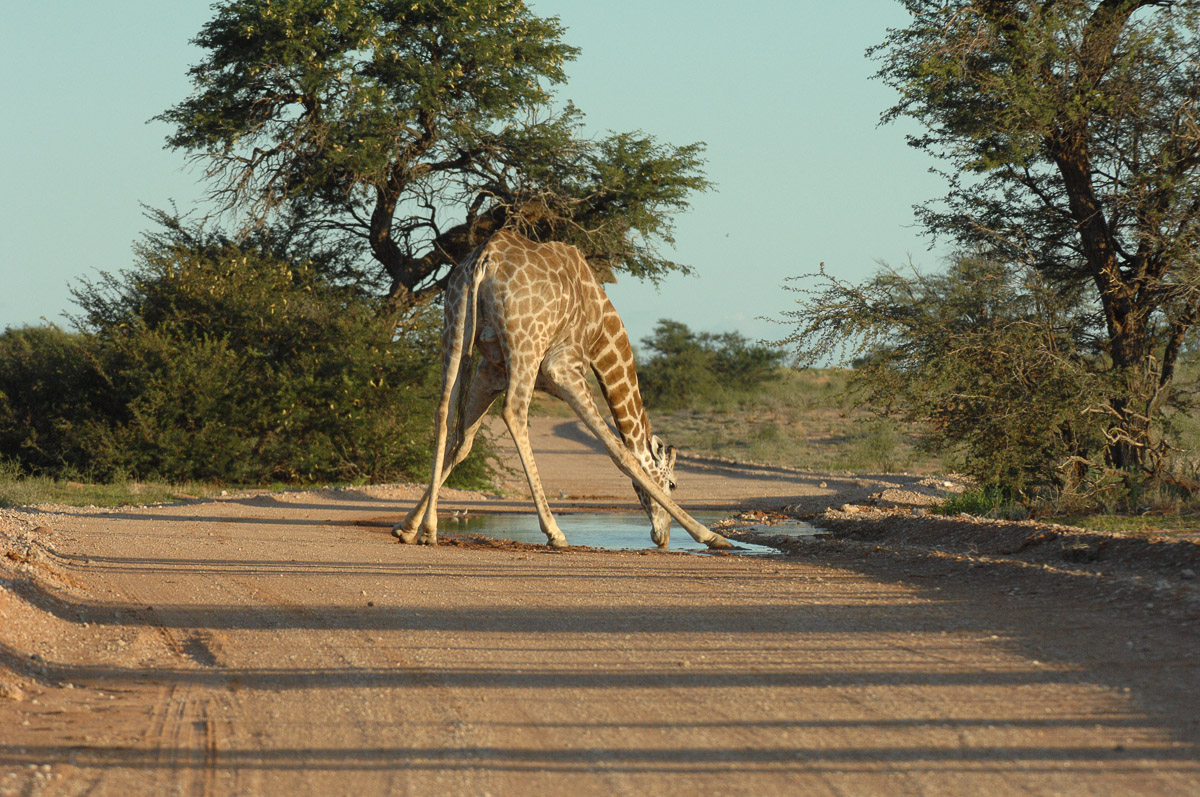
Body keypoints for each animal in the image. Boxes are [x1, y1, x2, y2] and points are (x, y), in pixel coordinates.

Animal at [394, 230, 732, 550]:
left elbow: (464, 443)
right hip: (526, 346)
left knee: (443, 410)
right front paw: (710, 535)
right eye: (673, 484)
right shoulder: (564, 368)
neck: (600, 331)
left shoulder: (490, 371)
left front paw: (408, 527)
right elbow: (620, 451)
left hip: (455, 328)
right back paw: (555, 532)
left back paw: (430, 530)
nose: (661, 537)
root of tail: (486, 258)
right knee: (514, 412)